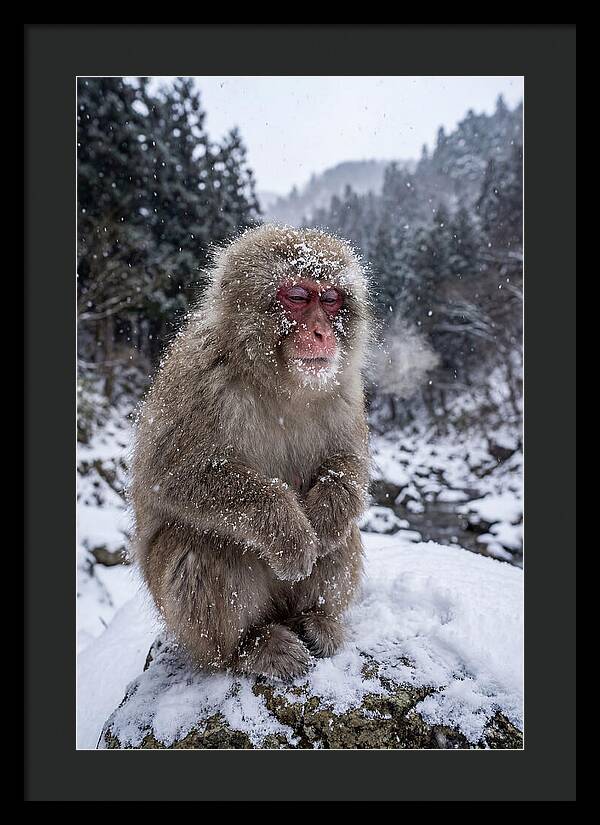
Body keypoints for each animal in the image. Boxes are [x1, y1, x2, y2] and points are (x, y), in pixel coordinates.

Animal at [130, 224, 371, 680]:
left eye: (331, 299)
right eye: (297, 296)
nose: (322, 332)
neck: (280, 384)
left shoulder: (345, 389)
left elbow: (349, 463)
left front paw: (324, 519)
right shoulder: (198, 377)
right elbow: (172, 475)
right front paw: (290, 532)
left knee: (344, 535)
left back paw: (316, 619)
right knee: (201, 544)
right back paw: (248, 648)